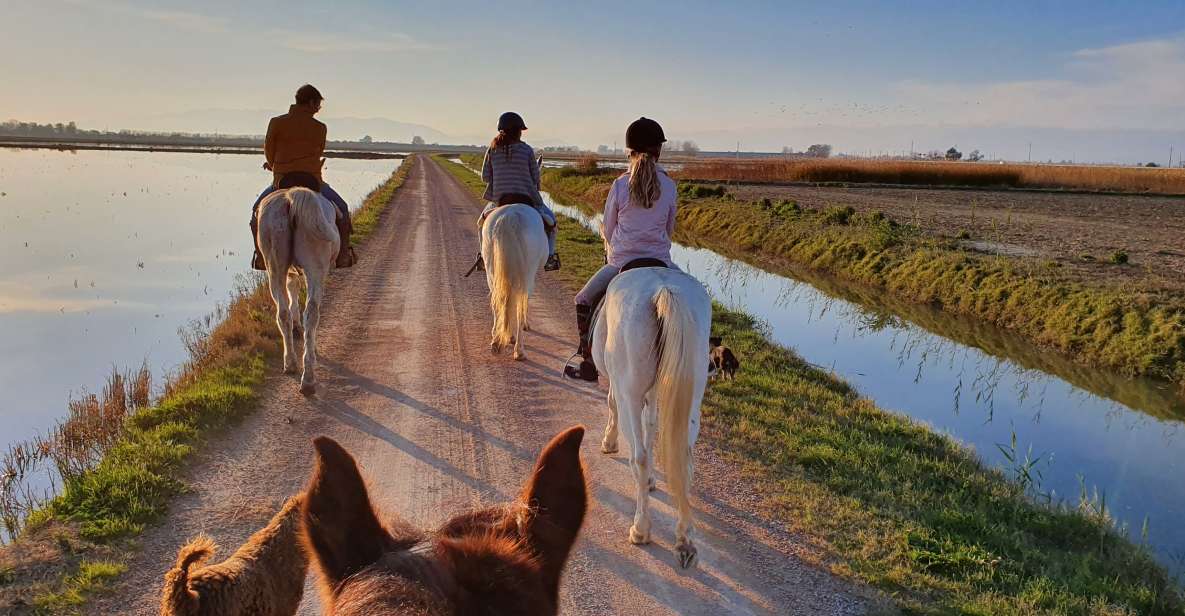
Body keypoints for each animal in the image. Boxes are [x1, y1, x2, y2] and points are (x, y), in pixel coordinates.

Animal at [254, 184, 338, 395]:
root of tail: (291, 197)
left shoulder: (291, 271)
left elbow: (292, 290)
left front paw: (296, 326)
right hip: (315, 268)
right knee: (312, 312)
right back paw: (308, 375)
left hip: (275, 266)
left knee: (282, 313)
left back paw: (291, 363)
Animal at [483, 204, 547, 357]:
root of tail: (510, 216)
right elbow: (524, 303)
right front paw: (525, 325)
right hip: (526, 274)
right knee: (518, 305)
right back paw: (519, 350)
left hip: (491, 270)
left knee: (498, 300)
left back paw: (497, 340)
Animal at [592, 265, 710, 568]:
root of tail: (664, 290)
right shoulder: (656, 391)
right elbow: (652, 424)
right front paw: (653, 482)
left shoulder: (620, 387)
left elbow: (612, 404)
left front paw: (609, 443)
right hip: (691, 400)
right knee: (684, 459)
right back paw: (685, 539)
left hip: (630, 393)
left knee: (639, 457)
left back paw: (641, 529)